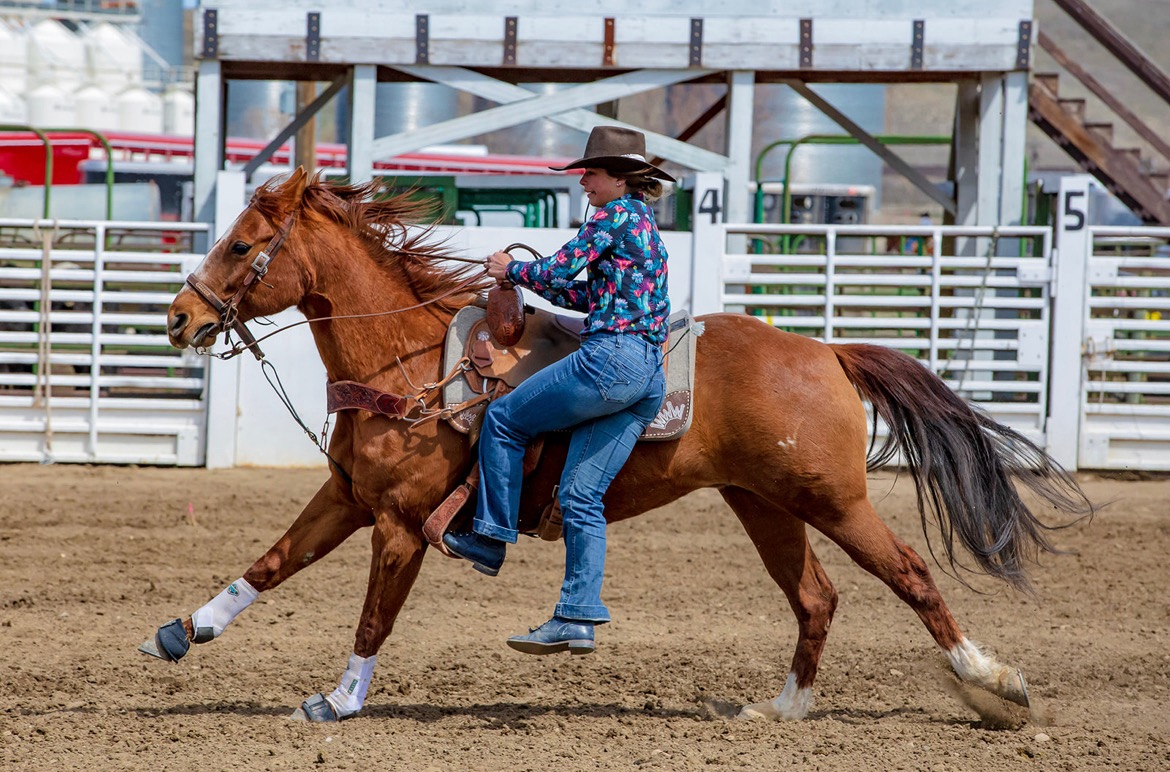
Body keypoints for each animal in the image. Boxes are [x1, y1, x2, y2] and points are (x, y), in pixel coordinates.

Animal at [150, 170, 1090, 725]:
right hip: (764, 505)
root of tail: (825, 350)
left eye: (242, 245)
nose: (179, 318)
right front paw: (186, 628)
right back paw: (782, 710)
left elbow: (374, 616)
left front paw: (339, 701)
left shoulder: (400, 525)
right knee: (816, 598)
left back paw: (993, 684)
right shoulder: (348, 497)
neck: (410, 360)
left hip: (833, 500)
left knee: (911, 574)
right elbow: (272, 562)